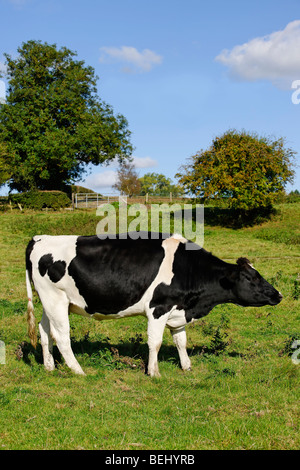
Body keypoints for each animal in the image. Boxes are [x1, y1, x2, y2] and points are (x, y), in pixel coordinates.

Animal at [25, 233, 282, 376]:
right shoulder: (159, 307)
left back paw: (49, 367)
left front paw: (187, 367)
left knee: (45, 332)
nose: (278, 295)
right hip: (55, 299)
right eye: (251, 278)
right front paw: (154, 372)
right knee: (62, 337)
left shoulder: (179, 310)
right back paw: (79, 371)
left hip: (51, 303)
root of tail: (40, 238)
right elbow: (155, 342)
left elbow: (181, 341)